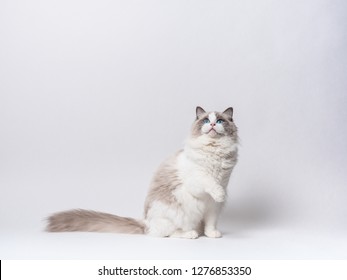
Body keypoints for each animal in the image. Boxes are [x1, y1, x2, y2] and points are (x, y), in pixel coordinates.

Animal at [45, 106, 239, 238]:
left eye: (220, 121)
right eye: (206, 120)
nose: (212, 124)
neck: (214, 153)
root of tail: (145, 222)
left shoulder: (213, 205)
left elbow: (211, 223)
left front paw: (213, 234)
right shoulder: (197, 182)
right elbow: (209, 182)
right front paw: (218, 194)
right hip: (178, 215)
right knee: (168, 233)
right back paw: (191, 234)